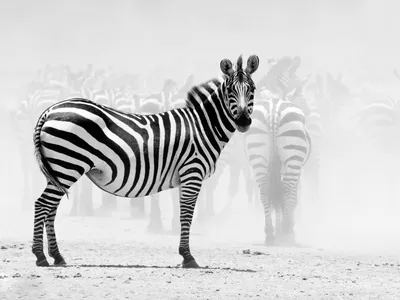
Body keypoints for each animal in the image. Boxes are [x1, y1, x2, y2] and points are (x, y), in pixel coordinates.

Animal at [30, 55, 260, 268]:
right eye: (230, 90)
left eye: (252, 89)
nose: (243, 121)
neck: (202, 126)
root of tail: (50, 110)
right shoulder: (192, 172)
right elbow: (187, 214)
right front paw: (188, 257)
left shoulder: (185, 176)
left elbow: (183, 212)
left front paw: (185, 253)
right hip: (67, 165)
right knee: (42, 204)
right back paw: (40, 256)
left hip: (59, 169)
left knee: (51, 207)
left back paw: (57, 256)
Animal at [244, 92, 312, 246]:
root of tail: (273, 108)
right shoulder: (297, 173)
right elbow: (292, 198)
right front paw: (286, 228)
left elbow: (276, 197)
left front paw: (278, 230)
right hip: (293, 154)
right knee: (286, 189)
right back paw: (287, 232)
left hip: (258, 153)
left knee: (265, 191)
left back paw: (269, 233)